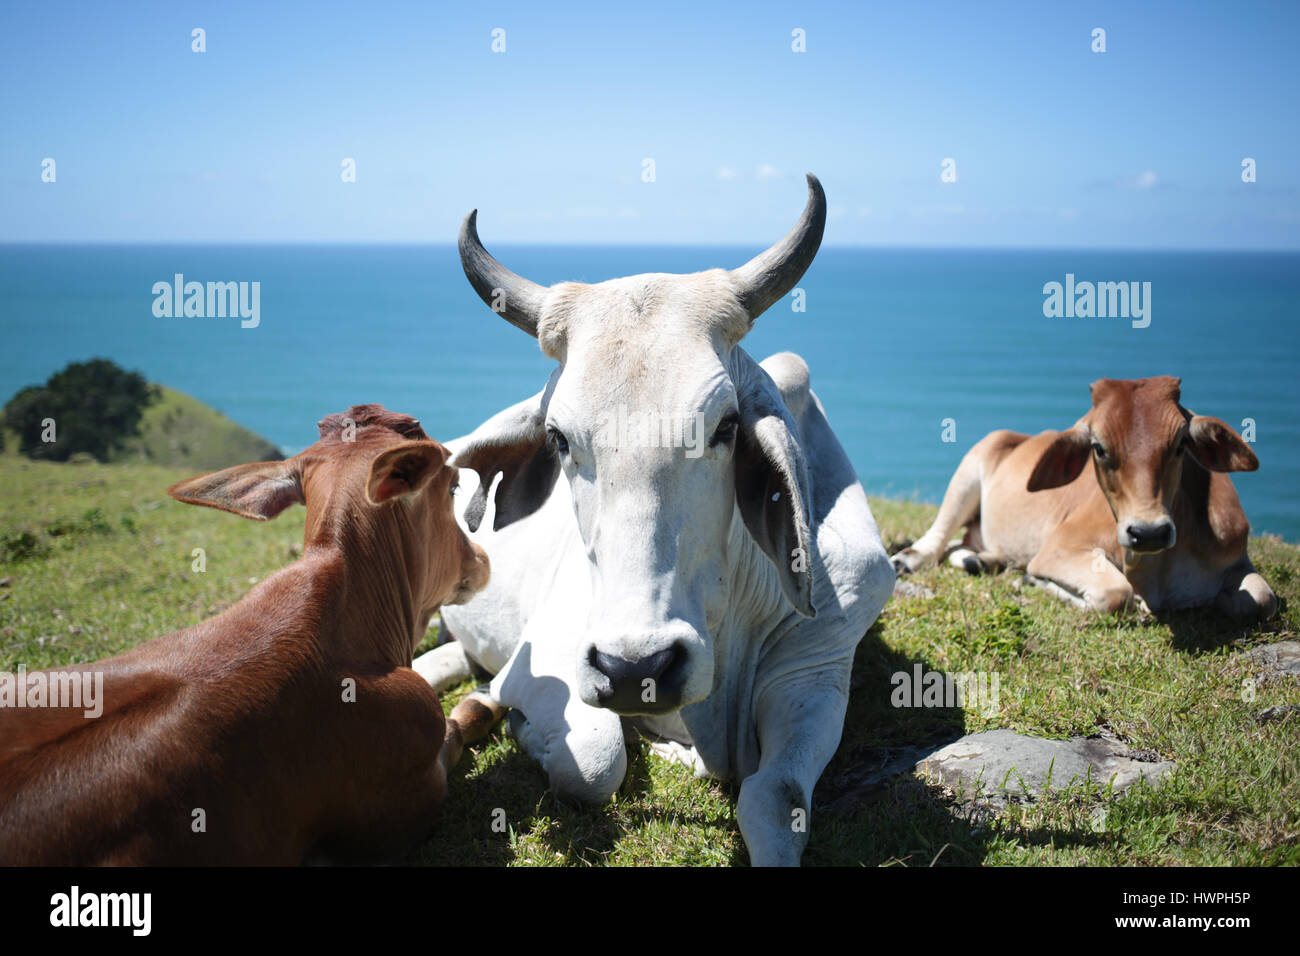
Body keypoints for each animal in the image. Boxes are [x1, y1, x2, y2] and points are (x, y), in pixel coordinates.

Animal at [412, 174, 895, 866]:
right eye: (558, 437)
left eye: (725, 425)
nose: (636, 670)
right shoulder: (548, 656)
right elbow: (593, 763)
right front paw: (532, 730)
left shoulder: (816, 671)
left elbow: (777, 800)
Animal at [891, 377, 1276, 619]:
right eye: (1098, 448)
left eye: (1181, 444)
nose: (1148, 532)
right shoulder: (1061, 546)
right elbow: (1115, 594)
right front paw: (1034, 579)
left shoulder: (1238, 557)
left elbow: (1262, 599)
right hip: (972, 465)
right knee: (936, 540)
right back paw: (910, 559)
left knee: (963, 546)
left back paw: (982, 561)